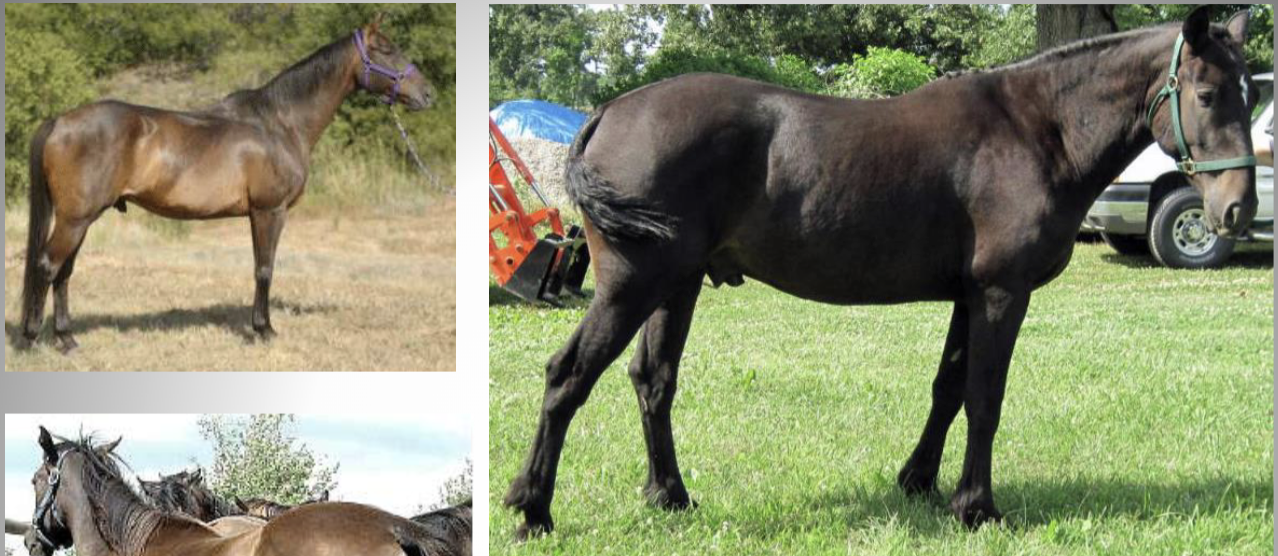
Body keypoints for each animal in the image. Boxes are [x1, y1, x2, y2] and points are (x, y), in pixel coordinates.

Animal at [16, 14, 433, 353]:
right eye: (386, 49)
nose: (427, 93)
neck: (279, 123)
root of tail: (60, 121)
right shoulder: (269, 211)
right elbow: (265, 268)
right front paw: (265, 330)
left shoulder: (255, 214)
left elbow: (260, 266)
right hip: (75, 219)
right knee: (47, 266)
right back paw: (32, 339)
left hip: (81, 219)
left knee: (64, 271)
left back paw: (68, 340)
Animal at [503, 7, 1259, 538]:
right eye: (1206, 92)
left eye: (1249, 93)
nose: (1237, 209)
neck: (1036, 129)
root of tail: (609, 112)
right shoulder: (1001, 293)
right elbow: (984, 398)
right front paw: (976, 506)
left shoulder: (968, 296)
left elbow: (948, 390)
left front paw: (919, 482)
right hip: (632, 285)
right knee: (569, 377)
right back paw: (533, 509)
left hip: (675, 286)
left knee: (652, 382)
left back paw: (670, 496)